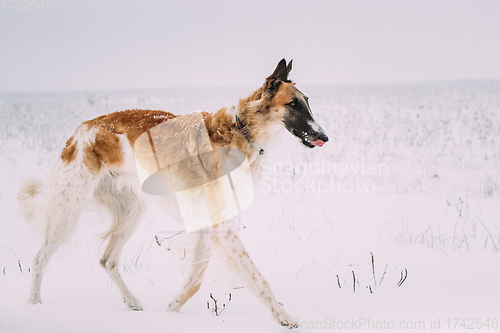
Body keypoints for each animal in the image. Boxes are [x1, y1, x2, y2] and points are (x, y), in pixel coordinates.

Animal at [16, 58, 328, 326]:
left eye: (308, 102)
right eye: (292, 104)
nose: (324, 137)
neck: (242, 131)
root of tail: (80, 131)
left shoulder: (212, 224)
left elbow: (195, 281)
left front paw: (170, 311)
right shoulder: (223, 228)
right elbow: (258, 280)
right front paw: (284, 317)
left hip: (132, 211)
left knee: (107, 259)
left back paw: (132, 302)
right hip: (69, 210)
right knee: (39, 258)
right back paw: (34, 306)